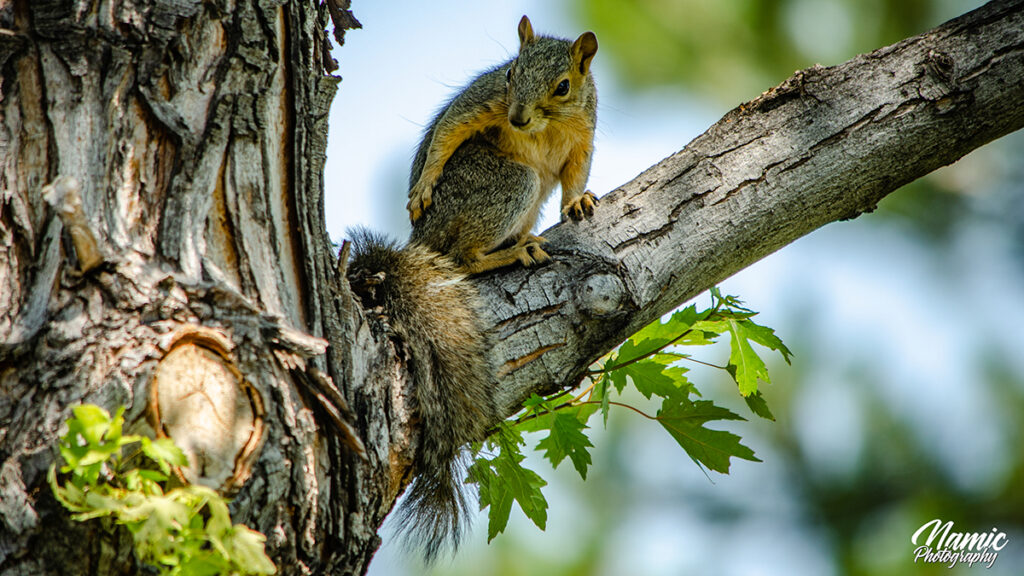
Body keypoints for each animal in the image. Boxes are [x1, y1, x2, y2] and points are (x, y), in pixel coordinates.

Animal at [346, 14, 598, 561]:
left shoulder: (583, 131)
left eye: (563, 86)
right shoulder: (485, 100)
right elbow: (452, 126)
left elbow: (576, 172)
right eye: (509, 73)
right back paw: (512, 252)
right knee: (465, 259)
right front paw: (424, 183)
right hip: (506, 184)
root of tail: (423, 241)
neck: (544, 125)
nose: (518, 117)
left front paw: (578, 201)